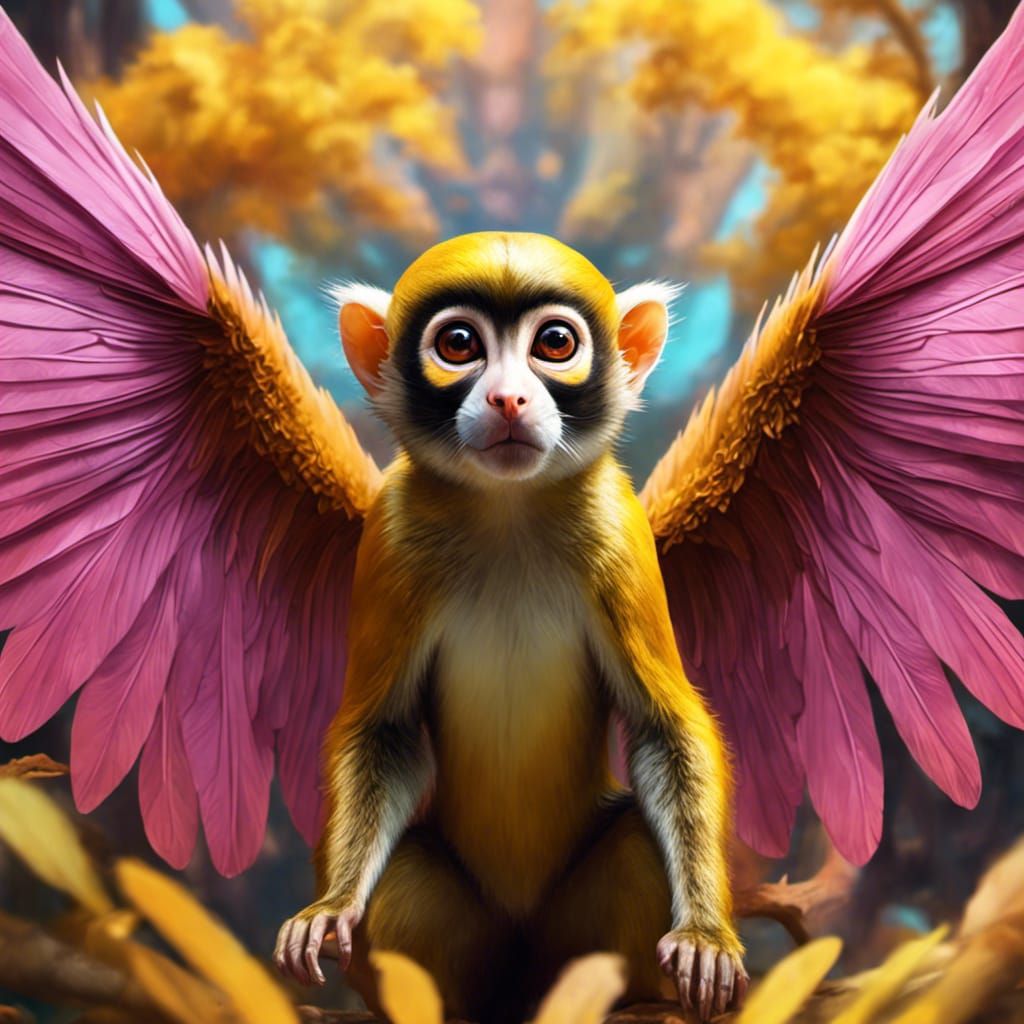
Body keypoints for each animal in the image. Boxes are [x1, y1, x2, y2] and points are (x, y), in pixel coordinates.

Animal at [273, 232, 746, 1023]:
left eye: (554, 343)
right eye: (459, 344)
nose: (507, 397)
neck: (507, 512)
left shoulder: (621, 529)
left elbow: (665, 728)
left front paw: (706, 933)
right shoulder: (390, 532)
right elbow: (383, 732)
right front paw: (331, 902)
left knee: (635, 843)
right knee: (405, 868)